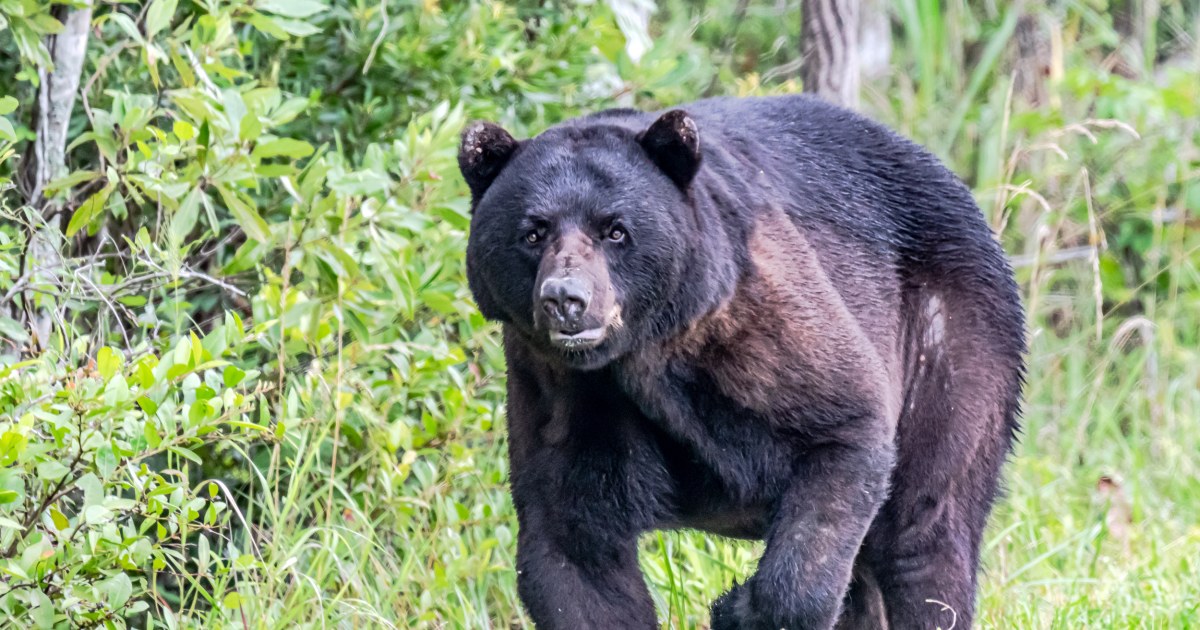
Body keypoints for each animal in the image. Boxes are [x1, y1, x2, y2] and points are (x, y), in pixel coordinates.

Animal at [456, 94, 1022, 628]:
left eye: (615, 230)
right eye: (533, 232)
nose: (566, 299)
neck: (637, 353)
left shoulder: (750, 324)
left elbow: (843, 426)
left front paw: (737, 607)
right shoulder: (563, 388)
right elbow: (573, 546)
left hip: (948, 330)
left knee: (925, 527)